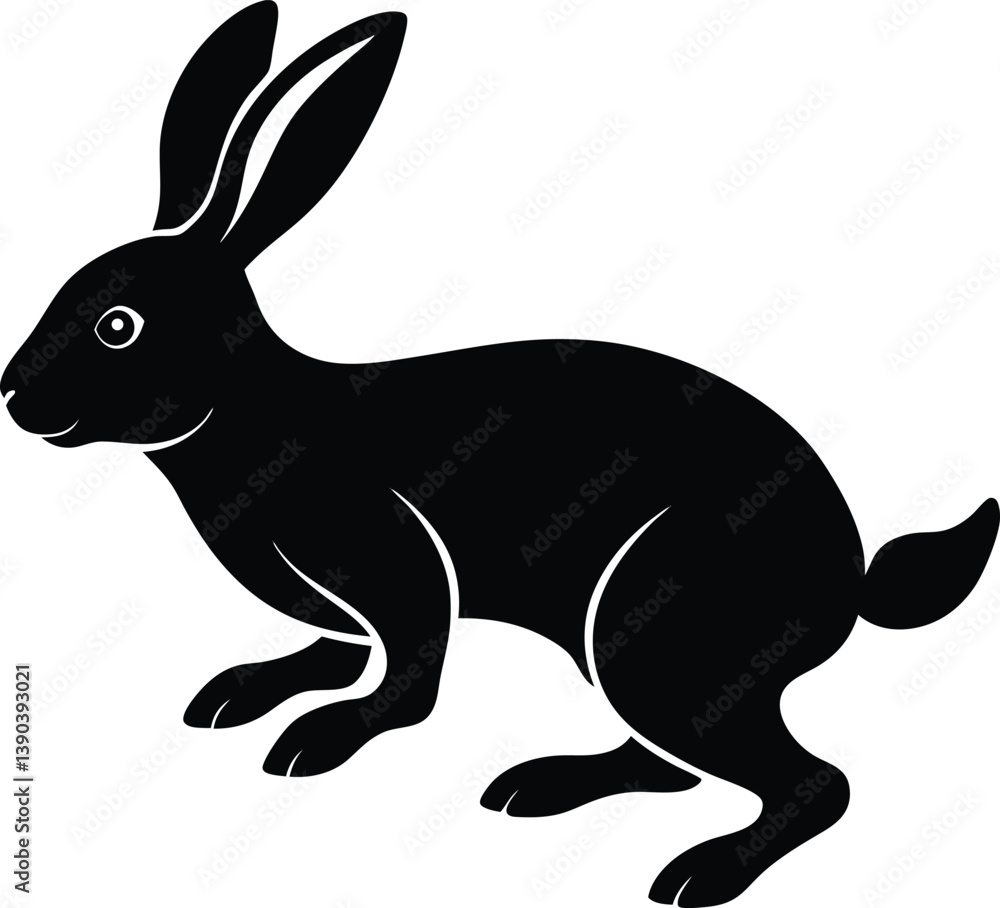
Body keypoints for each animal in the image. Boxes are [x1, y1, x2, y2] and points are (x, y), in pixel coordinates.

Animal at [2, 4, 998, 905]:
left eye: (118, 326)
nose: (13, 396)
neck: (248, 410)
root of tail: (850, 577)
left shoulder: (391, 559)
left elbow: (407, 675)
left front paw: (317, 740)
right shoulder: (336, 608)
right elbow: (332, 651)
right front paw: (234, 693)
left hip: (654, 630)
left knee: (813, 784)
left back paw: (695, 874)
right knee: (677, 765)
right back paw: (541, 787)